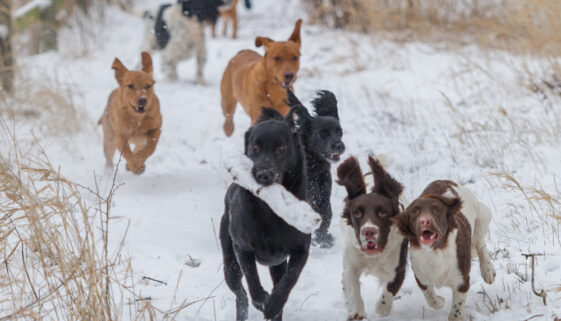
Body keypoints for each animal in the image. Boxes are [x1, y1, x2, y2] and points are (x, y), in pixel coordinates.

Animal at [220, 106, 310, 318]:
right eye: (255, 147)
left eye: (281, 148)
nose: (264, 174)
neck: (270, 209)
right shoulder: (242, 247)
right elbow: (251, 278)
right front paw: (262, 301)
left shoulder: (301, 249)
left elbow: (290, 279)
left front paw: (274, 305)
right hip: (229, 263)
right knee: (240, 293)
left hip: (276, 264)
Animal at [286, 90, 344, 248]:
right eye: (323, 133)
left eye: (339, 132)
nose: (340, 146)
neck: (313, 167)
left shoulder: (322, 194)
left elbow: (326, 215)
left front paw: (322, 239)